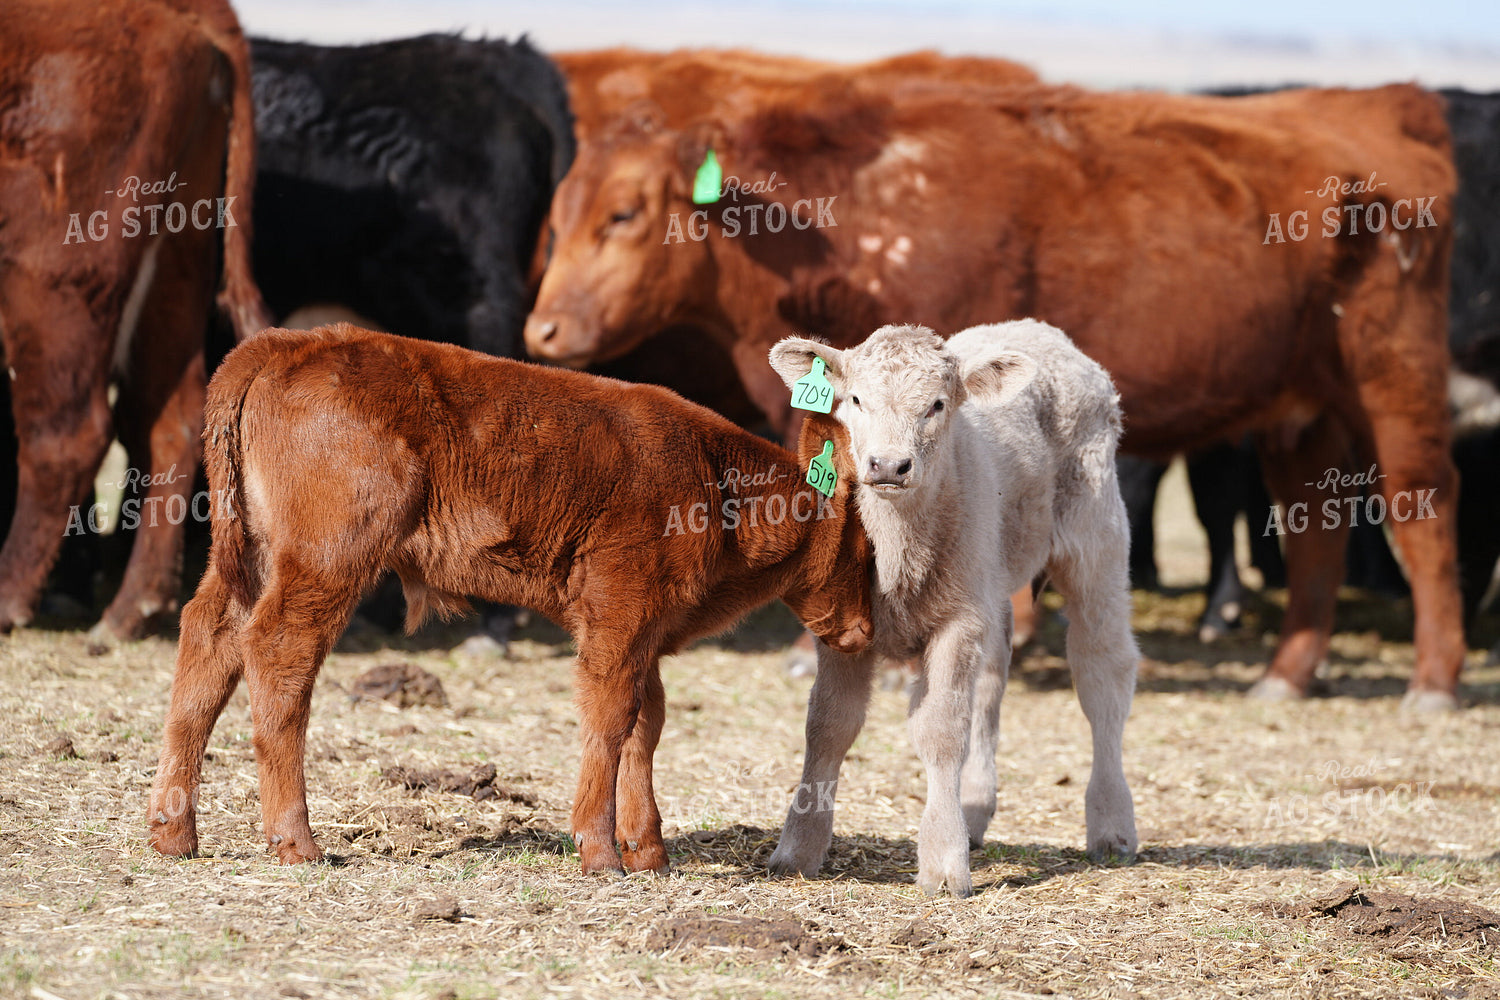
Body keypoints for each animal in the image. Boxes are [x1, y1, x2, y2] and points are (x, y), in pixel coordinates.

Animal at [0, 0, 270, 639]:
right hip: (177, 259)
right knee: (169, 419)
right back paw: (131, 609)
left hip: (52, 278)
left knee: (67, 435)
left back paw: (9, 595)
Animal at [146, 323, 874, 871]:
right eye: (868, 550)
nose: (866, 632)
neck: (712, 484)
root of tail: (287, 343)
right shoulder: (619, 616)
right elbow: (611, 721)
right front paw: (600, 851)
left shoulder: (642, 629)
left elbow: (647, 725)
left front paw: (648, 851)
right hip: (324, 562)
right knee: (279, 656)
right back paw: (296, 841)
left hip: (251, 559)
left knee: (207, 646)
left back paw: (173, 833)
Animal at [525, 77, 1464, 708]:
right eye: (557, 214)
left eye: (624, 214)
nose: (543, 331)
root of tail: (1382, 102)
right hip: (1302, 413)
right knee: (1316, 529)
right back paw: (1286, 674)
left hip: (1395, 381)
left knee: (1421, 510)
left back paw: (1434, 679)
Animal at [765, 321, 1137, 897]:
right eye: (855, 399)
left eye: (937, 405)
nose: (888, 465)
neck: (898, 554)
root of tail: (1044, 331)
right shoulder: (842, 623)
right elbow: (828, 725)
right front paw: (798, 848)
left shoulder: (957, 623)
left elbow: (940, 732)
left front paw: (943, 862)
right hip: (990, 575)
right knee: (992, 681)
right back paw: (975, 810)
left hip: (1095, 536)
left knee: (1103, 673)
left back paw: (1112, 825)